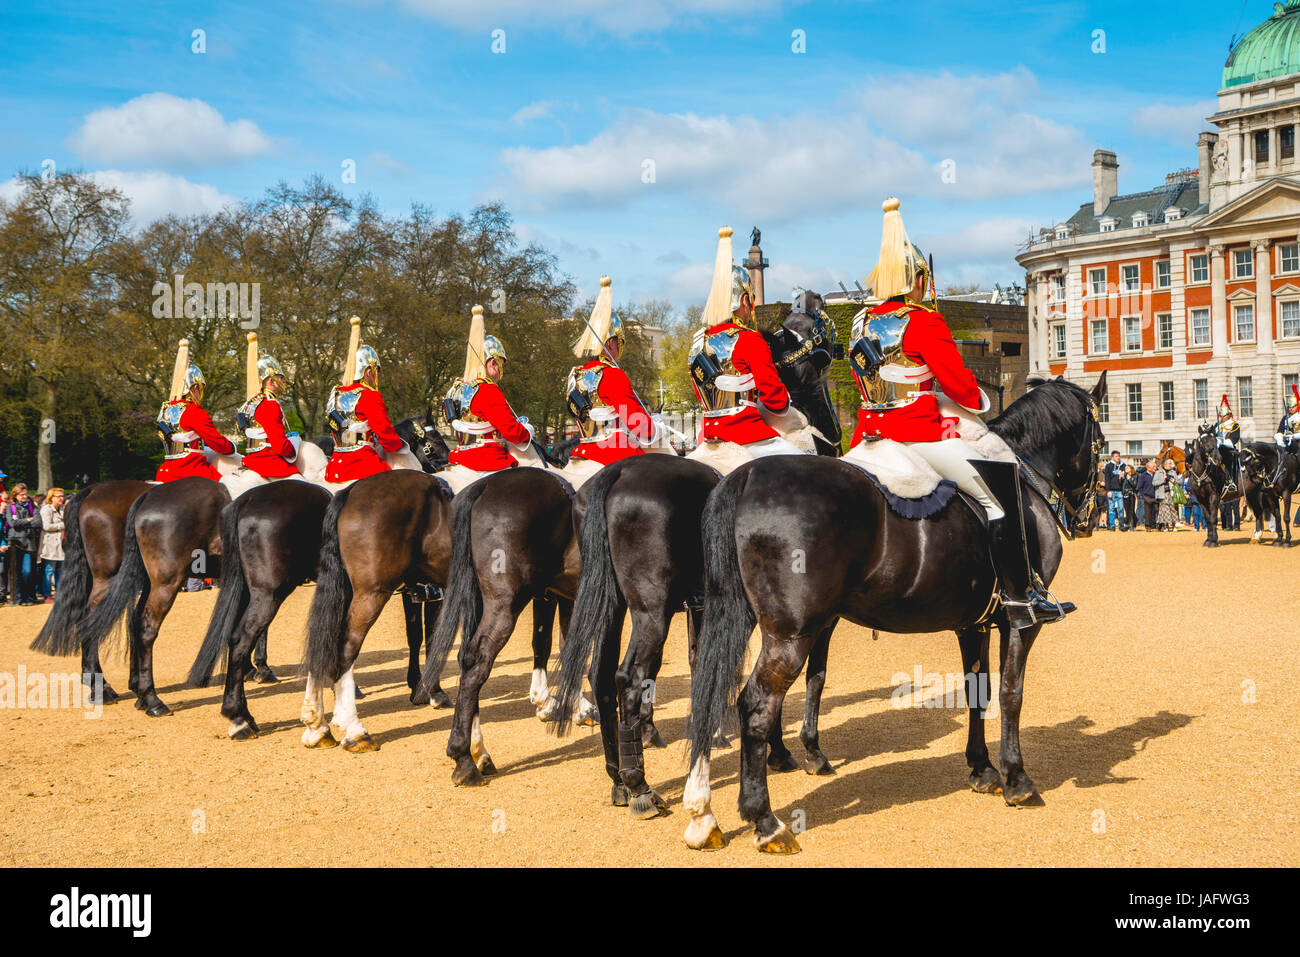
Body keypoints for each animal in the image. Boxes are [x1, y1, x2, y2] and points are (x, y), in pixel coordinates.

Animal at [686, 374, 1102, 852]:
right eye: (1098, 436)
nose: (1089, 515)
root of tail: (747, 474)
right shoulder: (1018, 623)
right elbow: (1011, 694)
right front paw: (1017, 778)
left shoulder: (973, 624)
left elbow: (977, 691)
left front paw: (982, 769)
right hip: (792, 634)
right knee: (755, 705)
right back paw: (765, 820)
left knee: (710, 694)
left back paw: (703, 815)